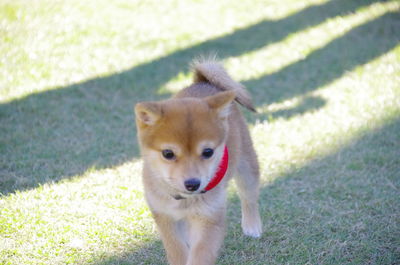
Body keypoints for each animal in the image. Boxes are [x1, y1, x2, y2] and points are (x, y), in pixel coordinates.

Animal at [134, 60, 262, 264]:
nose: (193, 184)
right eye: (168, 153)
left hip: (246, 166)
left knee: (248, 197)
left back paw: (252, 226)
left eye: (208, 152)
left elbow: (200, 255)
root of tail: (203, 82)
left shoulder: (209, 217)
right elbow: (177, 252)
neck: (182, 199)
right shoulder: (165, 218)